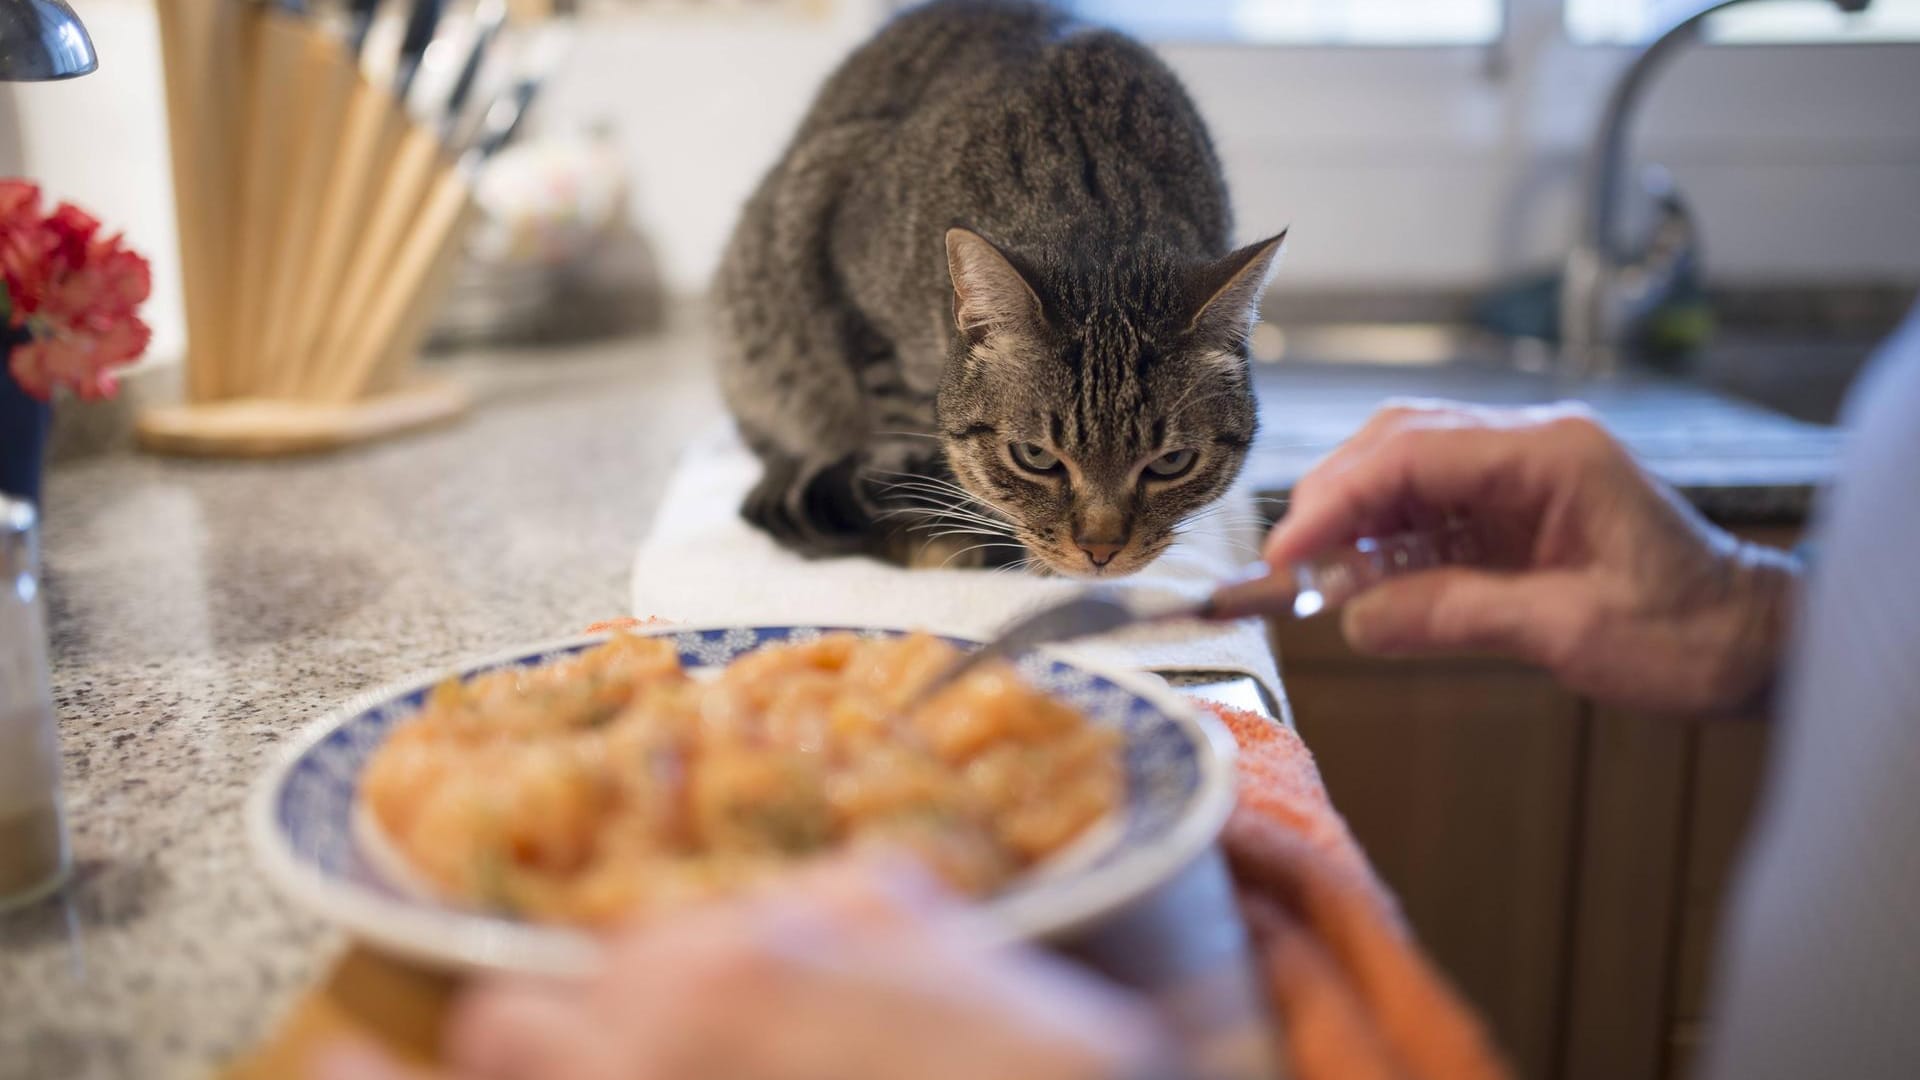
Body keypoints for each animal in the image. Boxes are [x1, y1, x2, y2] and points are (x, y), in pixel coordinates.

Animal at [714, 0, 1282, 576]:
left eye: (1171, 463)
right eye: (1035, 457)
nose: (1100, 550)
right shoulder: (848, 271)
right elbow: (901, 439)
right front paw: (943, 535)